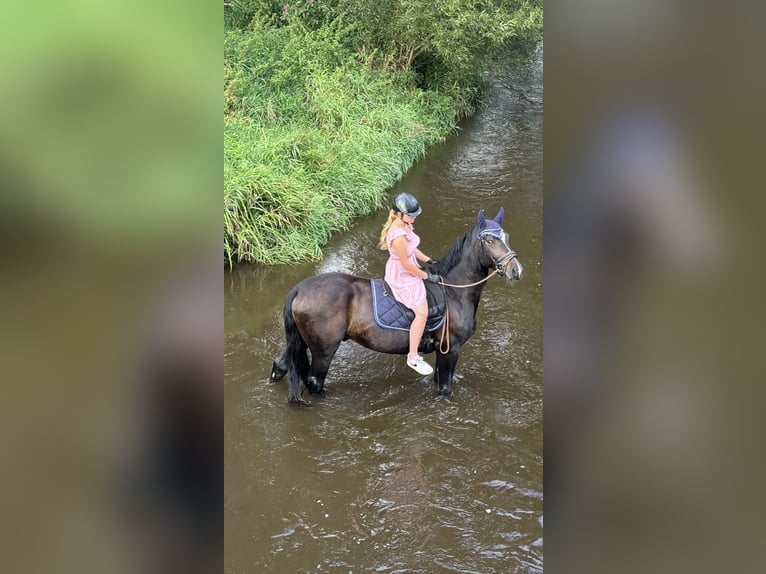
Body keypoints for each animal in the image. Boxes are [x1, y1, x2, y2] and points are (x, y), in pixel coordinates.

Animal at [268, 208, 520, 404]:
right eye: (489, 240)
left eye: (506, 237)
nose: (515, 270)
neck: (454, 291)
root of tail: (300, 288)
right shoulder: (451, 349)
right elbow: (445, 389)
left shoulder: (443, 350)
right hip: (324, 349)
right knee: (314, 381)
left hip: (301, 341)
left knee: (281, 364)